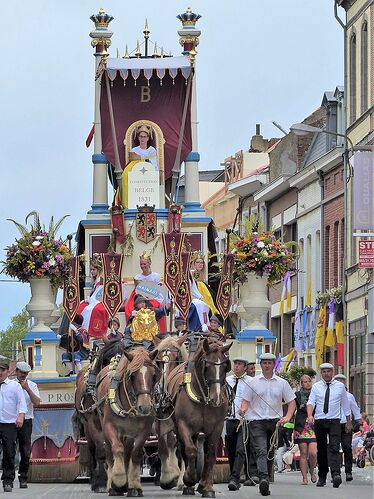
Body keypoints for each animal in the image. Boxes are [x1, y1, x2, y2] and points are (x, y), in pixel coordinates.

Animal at [95, 350, 159, 498]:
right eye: (132, 375)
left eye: (154, 375)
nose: (145, 407)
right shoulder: (109, 426)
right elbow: (117, 448)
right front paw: (118, 480)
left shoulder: (144, 431)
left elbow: (136, 454)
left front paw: (134, 486)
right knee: (110, 453)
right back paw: (112, 485)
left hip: (128, 434)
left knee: (128, 452)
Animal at [167, 338, 231, 498]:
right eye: (206, 366)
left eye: (225, 366)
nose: (217, 399)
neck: (203, 399)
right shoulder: (183, 425)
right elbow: (190, 450)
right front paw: (189, 479)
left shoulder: (216, 427)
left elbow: (210, 455)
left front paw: (206, 487)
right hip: (178, 427)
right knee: (183, 449)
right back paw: (186, 483)